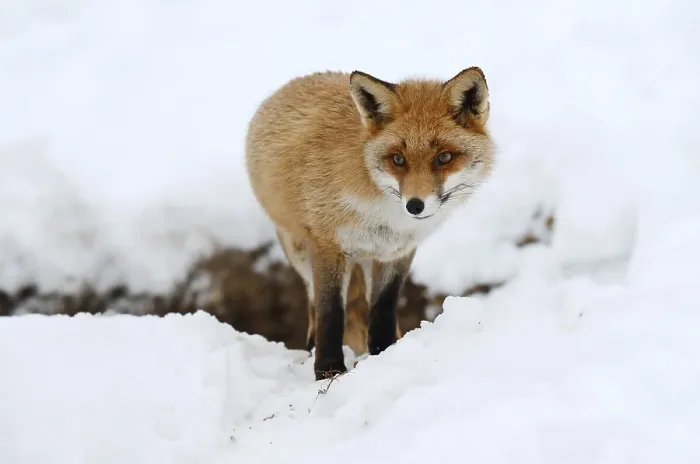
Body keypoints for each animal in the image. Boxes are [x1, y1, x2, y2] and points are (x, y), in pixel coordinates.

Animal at [245, 67, 495, 380]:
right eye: (397, 159)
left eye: (444, 157)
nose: (415, 205)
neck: (382, 212)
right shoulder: (329, 244)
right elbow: (330, 312)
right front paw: (328, 370)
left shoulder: (398, 251)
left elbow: (383, 308)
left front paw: (385, 353)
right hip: (299, 250)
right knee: (314, 303)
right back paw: (312, 348)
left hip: (364, 259)